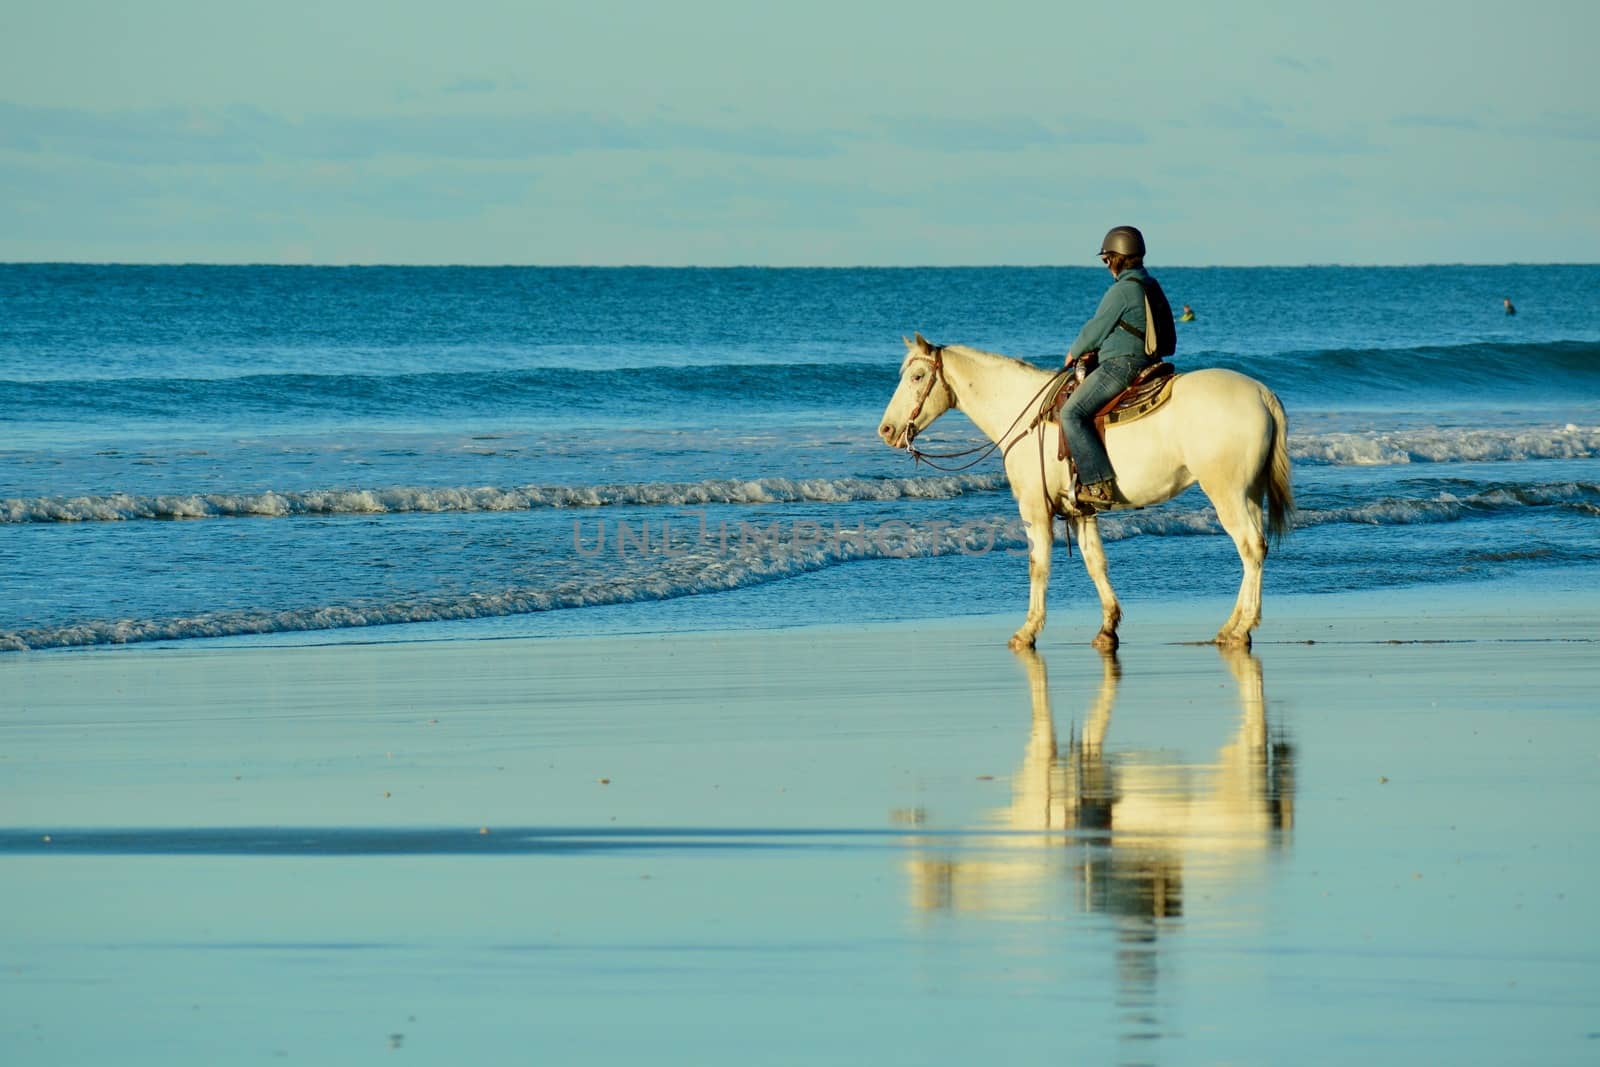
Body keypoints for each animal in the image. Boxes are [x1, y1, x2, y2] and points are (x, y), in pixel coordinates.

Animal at [883, 334, 1292, 652]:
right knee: (1257, 547)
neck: (1022, 413)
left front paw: (1027, 631)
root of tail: (1262, 393)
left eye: (918, 376)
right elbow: (1096, 562)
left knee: (1249, 547)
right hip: (1249, 491)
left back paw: (1240, 628)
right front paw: (1108, 627)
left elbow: (1038, 565)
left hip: (1226, 492)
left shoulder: (1034, 508)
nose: (886, 430)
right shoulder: (1081, 510)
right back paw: (1233, 627)